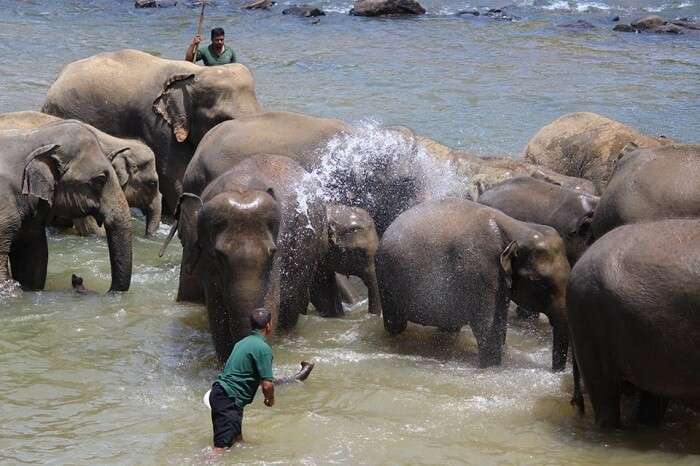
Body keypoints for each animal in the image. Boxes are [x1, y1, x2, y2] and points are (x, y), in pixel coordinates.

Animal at [162, 154, 326, 362]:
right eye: (218, 255)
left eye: (273, 252)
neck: (241, 187)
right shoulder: (208, 263)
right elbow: (217, 313)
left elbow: (271, 303)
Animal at [376, 198, 570, 371]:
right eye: (540, 283)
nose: (555, 371)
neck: (517, 228)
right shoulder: (481, 268)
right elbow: (488, 330)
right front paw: (492, 368)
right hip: (387, 280)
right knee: (395, 324)